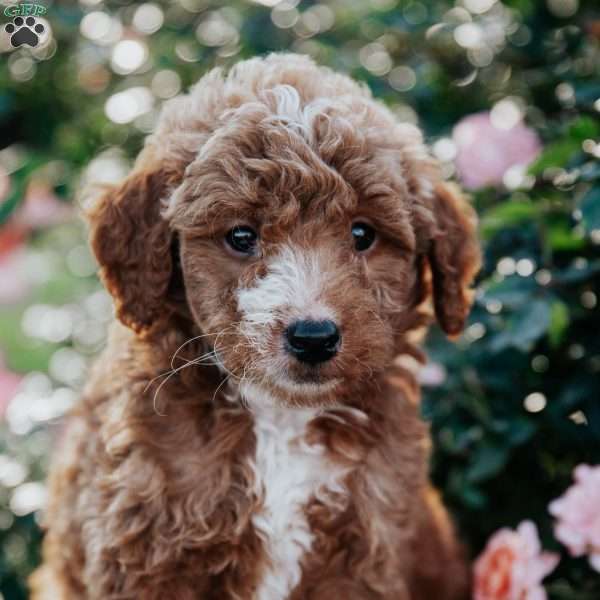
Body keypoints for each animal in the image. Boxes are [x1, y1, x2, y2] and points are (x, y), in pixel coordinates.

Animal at [30, 54, 480, 600]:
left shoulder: (362, 553)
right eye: (241, 236)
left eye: (363, 234)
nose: (313, 337)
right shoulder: (146, 552)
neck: (279, 417)